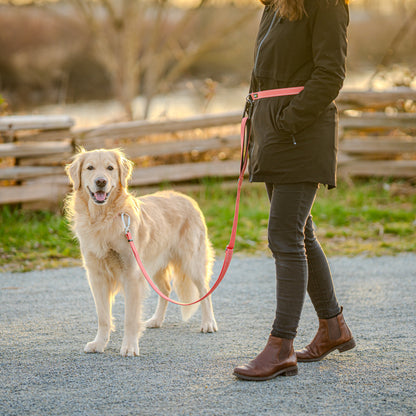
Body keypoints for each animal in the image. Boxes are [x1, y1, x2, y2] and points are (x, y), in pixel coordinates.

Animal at [64, 148, 218, 356]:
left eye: (110, 168)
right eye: (90, 168)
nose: (101, 182)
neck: (104, 219)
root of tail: (187, 198)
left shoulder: (131, 274)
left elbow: (130, 317)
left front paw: (129, 346)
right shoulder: (97, 276)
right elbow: (103, 317)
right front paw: (99, 344)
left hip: (191, 261)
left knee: (204, 290)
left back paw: (208, 323)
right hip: (154, 265)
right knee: (166, 290)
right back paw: (156, 320)